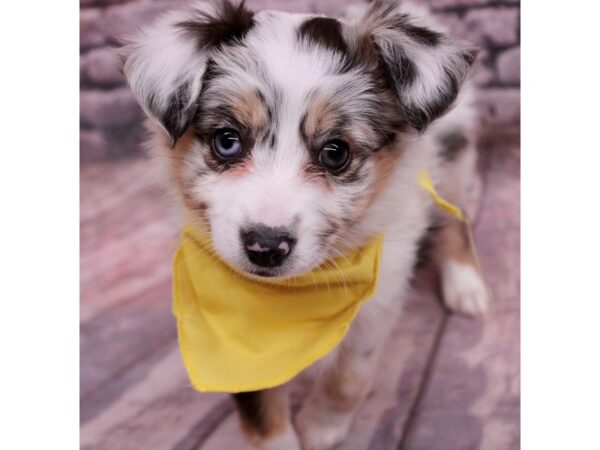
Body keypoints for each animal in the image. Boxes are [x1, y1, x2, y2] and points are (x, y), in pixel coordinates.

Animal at [120, 1, 488, 448]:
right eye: (227, 141)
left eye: (335, 152)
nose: (265, 246)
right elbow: (261, 408)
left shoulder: (382, 293)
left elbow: (351, 377)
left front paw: (321, 427)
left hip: (454, 157)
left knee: (457, 219)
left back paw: (466, 287)